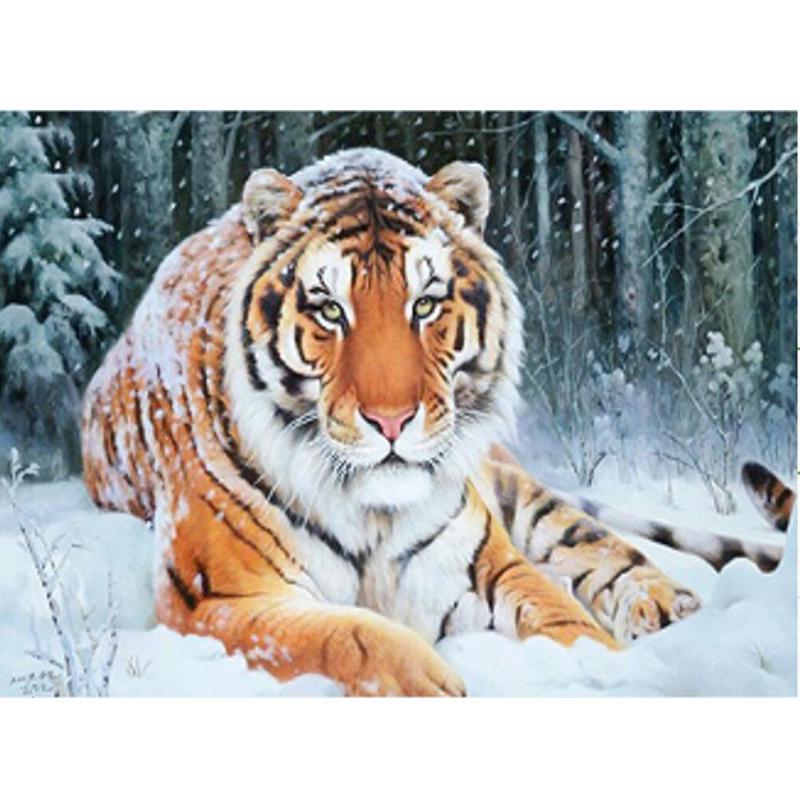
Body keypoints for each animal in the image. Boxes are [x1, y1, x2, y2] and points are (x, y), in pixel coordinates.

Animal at [81, 148, 780, 696]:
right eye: (330, 309)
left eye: (425, 304)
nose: (391, 422)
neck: (369, 513)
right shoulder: (218, 600)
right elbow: (346, 636)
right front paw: (433, 684)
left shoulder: (484, 564)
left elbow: (563, 616)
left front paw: (613, 670)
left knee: (597, 542)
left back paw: (666, 608)